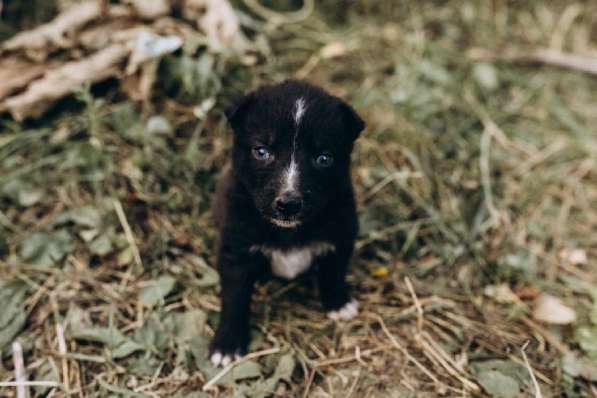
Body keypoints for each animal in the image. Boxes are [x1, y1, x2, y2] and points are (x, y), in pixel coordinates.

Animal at [210, 80, 364, 366]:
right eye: (262, 152)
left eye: (324, 158)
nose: (288, 203)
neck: (288, 230)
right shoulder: (237, 249)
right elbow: (235, 298)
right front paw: (227, 344)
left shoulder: (341, 233)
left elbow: (333, 271)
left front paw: (338, 303)